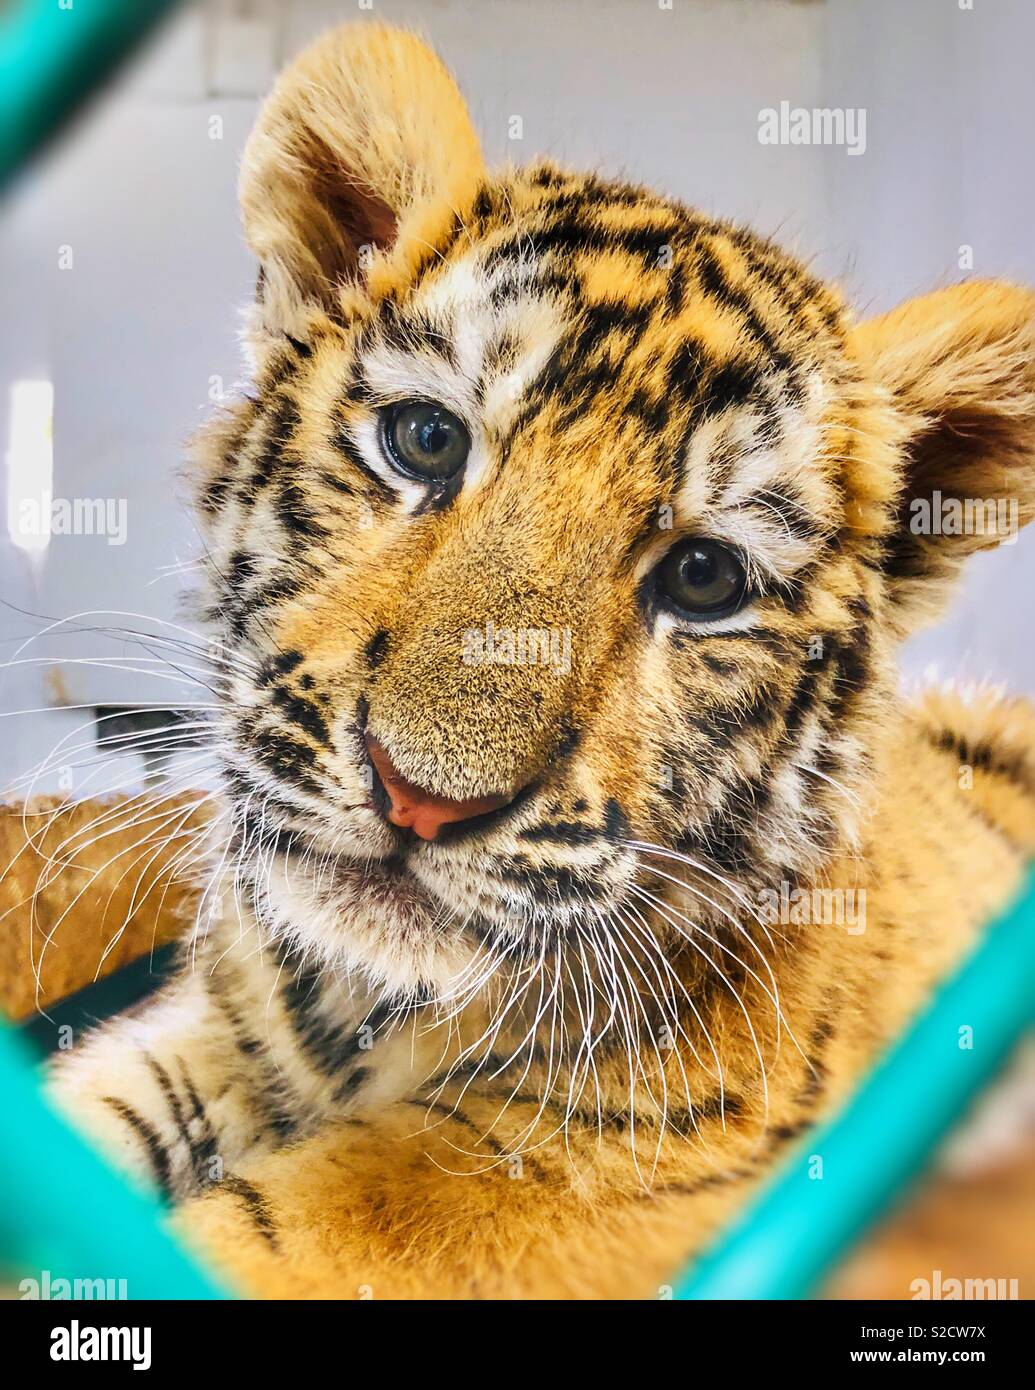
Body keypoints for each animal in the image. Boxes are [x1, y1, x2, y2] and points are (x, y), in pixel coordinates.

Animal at [45, 22, 1035, 1299]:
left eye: (703, 579)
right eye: (424, 441)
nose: (418, 800)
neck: (354, 1008)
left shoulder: (553, 1171)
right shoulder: (219, 1032)